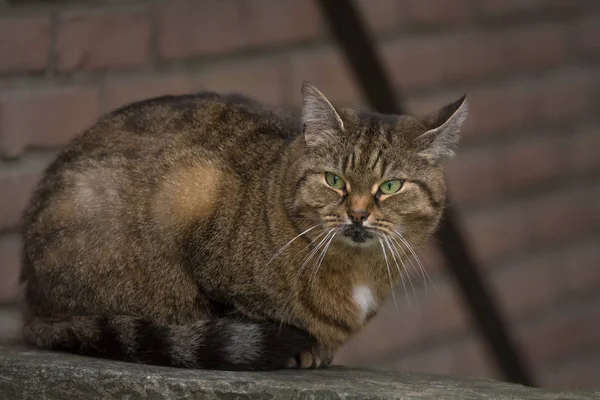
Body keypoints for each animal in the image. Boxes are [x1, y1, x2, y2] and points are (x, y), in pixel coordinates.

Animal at [18, 82, 466, 372]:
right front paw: (300, 349)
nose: (357, 214)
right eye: (333, 180)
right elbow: (241, 311)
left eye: (390, 186)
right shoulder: (201, 218)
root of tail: (33, 305)